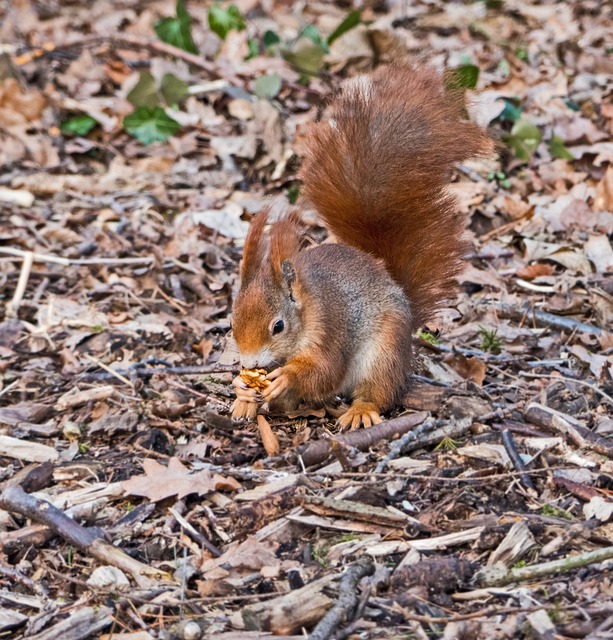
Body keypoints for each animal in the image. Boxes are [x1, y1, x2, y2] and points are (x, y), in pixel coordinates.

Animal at [230, 62, 492, 428]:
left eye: (278, 326)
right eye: (232, 321)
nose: (249, 362)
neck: (306, 309)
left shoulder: (330, 330)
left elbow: (325, 370)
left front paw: (286, 377)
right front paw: (242, 388)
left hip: (383, 352)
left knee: (377, 390)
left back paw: (360, 409)